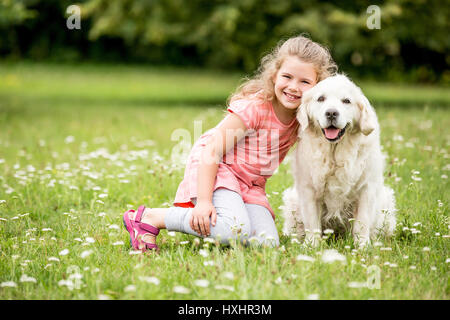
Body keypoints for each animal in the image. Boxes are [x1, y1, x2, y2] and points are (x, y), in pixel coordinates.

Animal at [284, 74, 396, 248]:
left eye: (346, 101)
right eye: (321, 98)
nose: (331, 113)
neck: (334, 152)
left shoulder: (366, 188)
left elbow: (362, 222)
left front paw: (362, 246)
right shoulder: (308, 190)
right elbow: (312, 222)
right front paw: (312, 246)